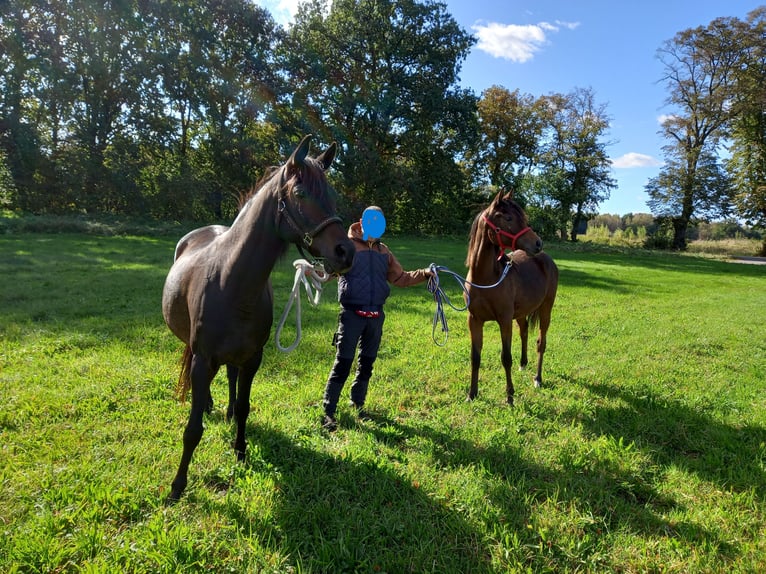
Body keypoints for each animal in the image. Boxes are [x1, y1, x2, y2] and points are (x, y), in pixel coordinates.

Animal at [164, 136, 356, 504]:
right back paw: (208, 404)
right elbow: (193, 429)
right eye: (300, 193)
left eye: (332, 195)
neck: (231, 281)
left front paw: (240, 451)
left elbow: (244, 406)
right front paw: (177, 486)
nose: (346, 252)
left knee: (231, 377)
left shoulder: (253, 358)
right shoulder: (203, 358)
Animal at [464, 191, 560, 408]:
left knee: (541, 342)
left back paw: (537, 379)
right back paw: (523, 364)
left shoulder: (504, 320)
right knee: (524, 332)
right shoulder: (475, 320)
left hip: (546, 309)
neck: (486, 280)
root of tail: (546, 259)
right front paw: (472, 394)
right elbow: (475, 357)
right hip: (522, 312)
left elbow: (506, 357)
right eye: (508, 218)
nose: (538, 243)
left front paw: (509, 397)